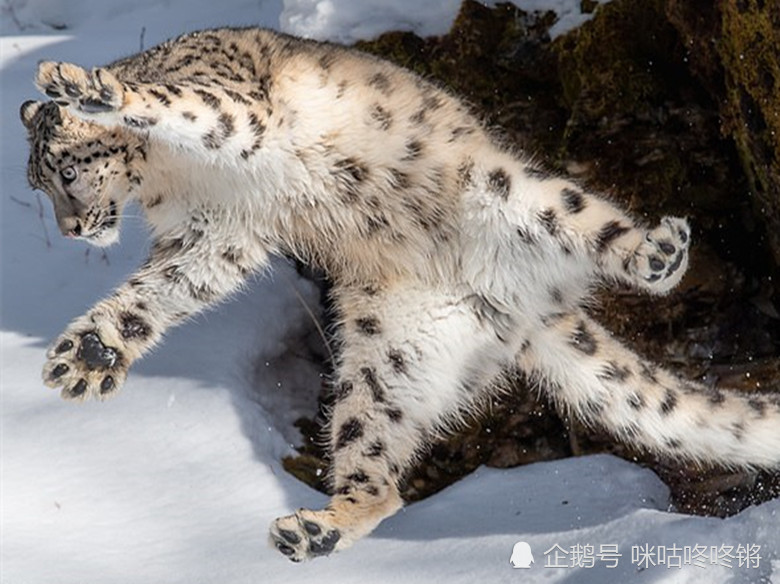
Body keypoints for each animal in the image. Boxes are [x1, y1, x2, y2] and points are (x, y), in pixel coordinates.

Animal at [18, 26, 780, 560]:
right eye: (43, 184)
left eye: (65, 171)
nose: (75, 228)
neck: (172, 180)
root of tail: (519, 305)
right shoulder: (213, 234)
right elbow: (157, 292)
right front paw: (89, 352)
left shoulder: (234, 118)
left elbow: (178, 106)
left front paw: (89, 89)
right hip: (385, 364)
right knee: (380, 475)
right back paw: (315, 531)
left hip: (521, 193)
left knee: (606, 233)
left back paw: (659, 251)